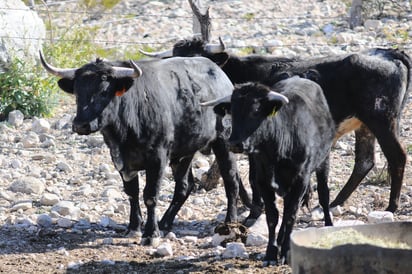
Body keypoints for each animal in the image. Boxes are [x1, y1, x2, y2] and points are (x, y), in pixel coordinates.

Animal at [38, 51, 245, 244]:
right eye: (77, 93)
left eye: (104, 91)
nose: (80, 125)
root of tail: (219, 72)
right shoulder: (121, 160)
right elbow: (132, 193)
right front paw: (134, 227)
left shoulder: (158, 158)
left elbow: (150, 195)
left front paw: (150, 234)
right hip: (184, 152)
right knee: (185, 186)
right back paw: (165, 223)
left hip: (223, 143)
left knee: (231, 180)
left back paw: (229, 222)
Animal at [143, 38, 410, 213]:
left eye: (202, 58)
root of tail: (389, 53)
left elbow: (248, 176)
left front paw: (255, 206)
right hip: (365, 125)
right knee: (364, 162)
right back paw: (334, 203)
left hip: (382, 120)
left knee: (396, 157)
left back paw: (391, 206)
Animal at [202, 77, 334, 266]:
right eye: (232, 111)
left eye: (256, 111)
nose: (234, 143)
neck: (275, 149)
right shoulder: (262, 180)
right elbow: (273, 216)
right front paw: (271, 252)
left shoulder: (300, 180)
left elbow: (290, 215)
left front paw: (286, 251)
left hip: (324, 160)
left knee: (323, 193)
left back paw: (328, 224)